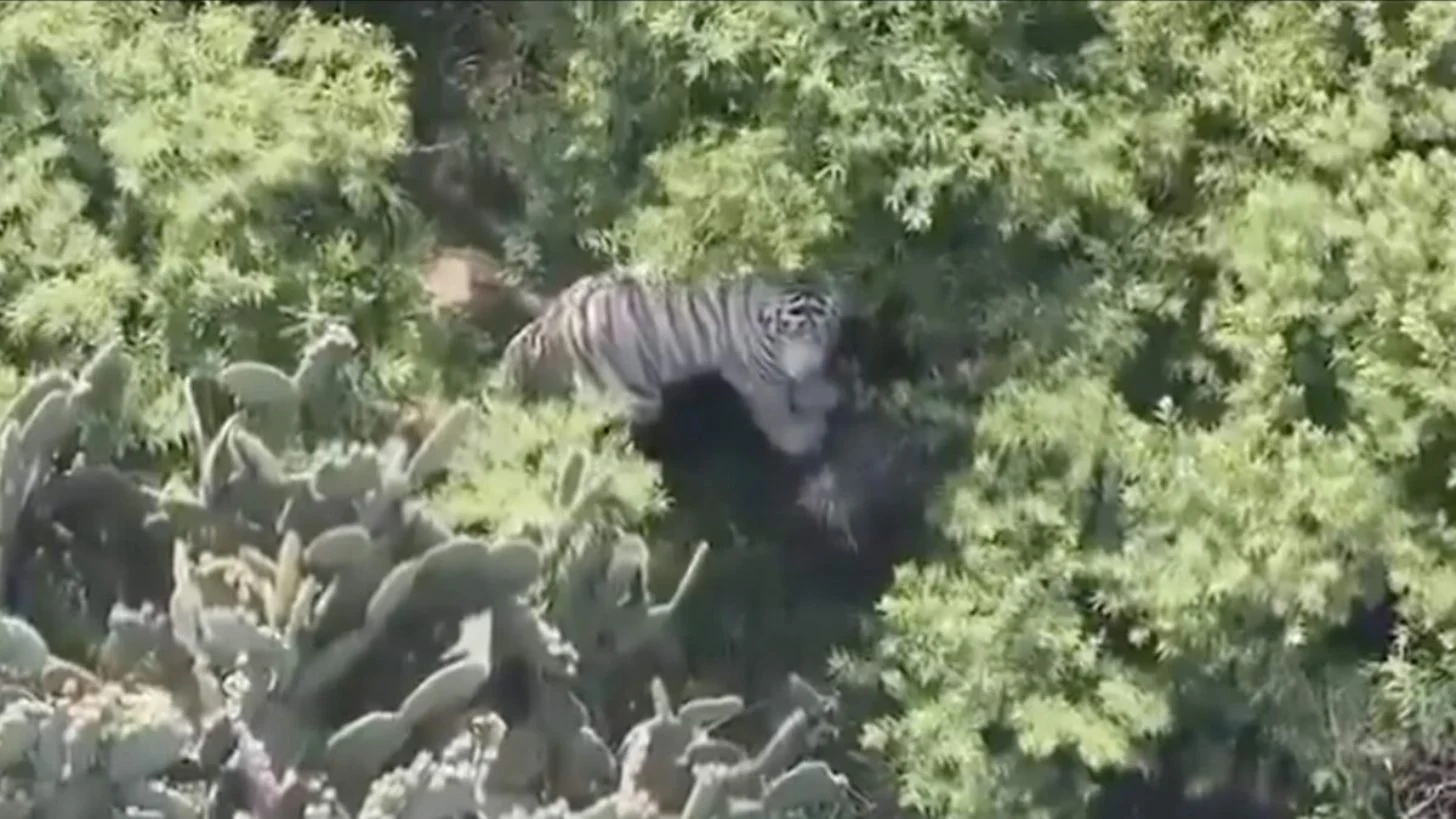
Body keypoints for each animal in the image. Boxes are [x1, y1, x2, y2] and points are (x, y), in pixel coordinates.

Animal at [494, 266, 846, 457]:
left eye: (821, 329)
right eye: (789, 329)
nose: (805, 365)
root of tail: (555, 315)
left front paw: (818, 391)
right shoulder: (759, 372)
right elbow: (776, 409)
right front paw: (800, 437)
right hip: (633, 395)